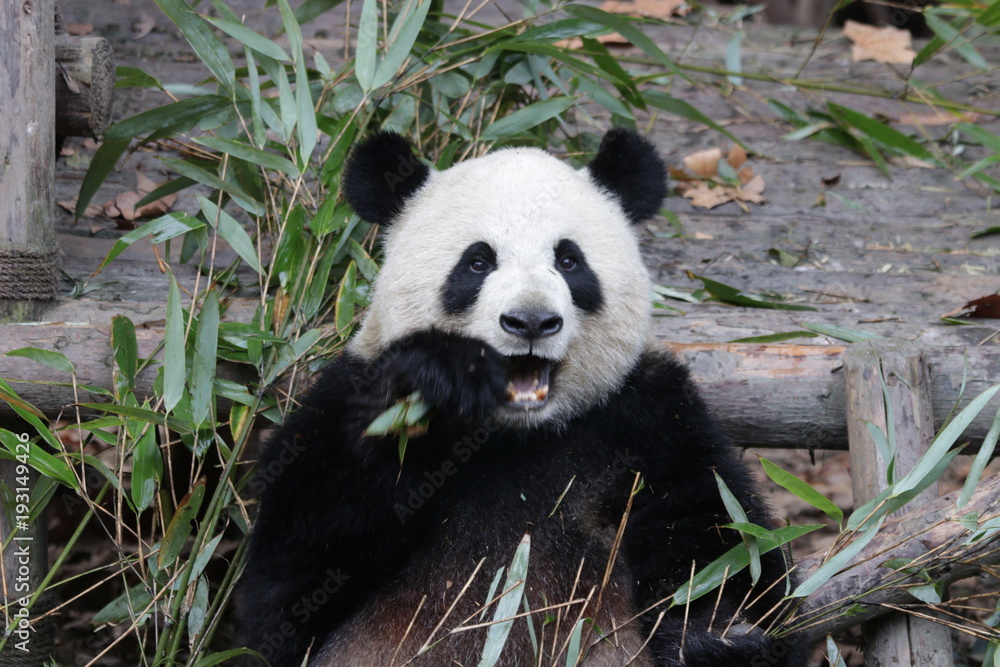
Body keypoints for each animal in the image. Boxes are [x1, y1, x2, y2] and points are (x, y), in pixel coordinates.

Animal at [238, 128, 805, 666]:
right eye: (477, 262)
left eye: (570, 260)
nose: (531, 320)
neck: (517, 432)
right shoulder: (342, 398)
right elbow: (289, 587)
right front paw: (436, 379)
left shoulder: (650, 418)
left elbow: (721, 543)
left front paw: (720, 640)